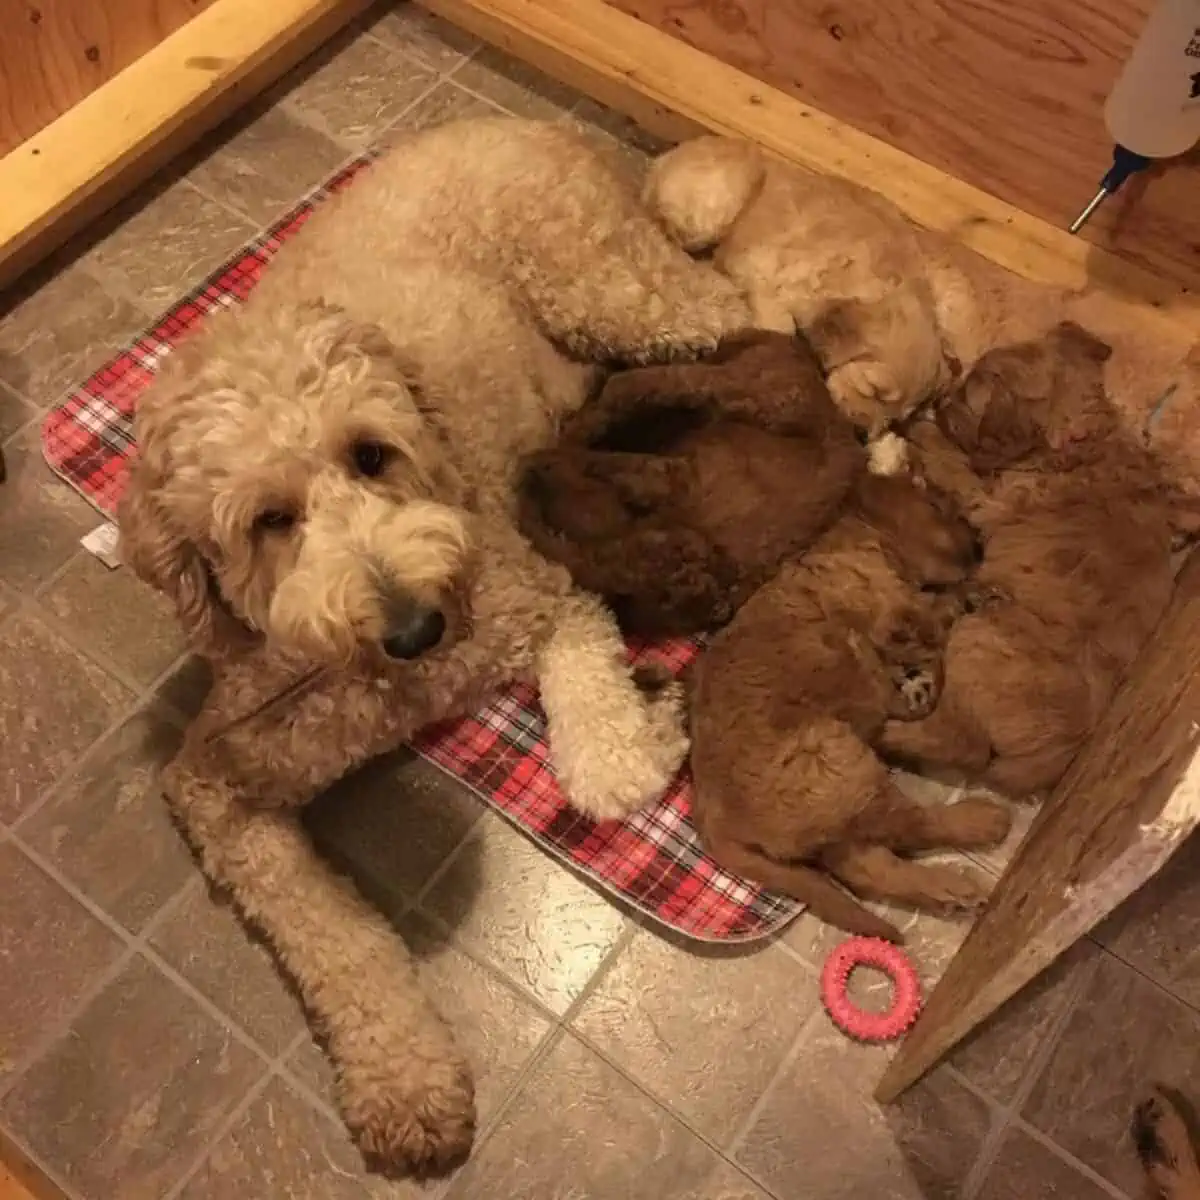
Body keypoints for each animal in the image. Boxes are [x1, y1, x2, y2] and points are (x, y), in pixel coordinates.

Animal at [119, 119, 739, 1171]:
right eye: (268, 520)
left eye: (371, 452)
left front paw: (656, 726)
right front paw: (404, 1081)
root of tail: (534, 125)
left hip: (619, 296)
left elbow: (606, 771)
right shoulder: (215, 776)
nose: (421, 628)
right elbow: (336, 937)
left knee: (744, 305)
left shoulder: (541, 595)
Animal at [686, 472, 1012, 940]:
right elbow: (934, 612)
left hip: (832, 799)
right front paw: (969, 598)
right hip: (836, 760)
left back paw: (948, 887)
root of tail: (711, 815)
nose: (981, 546)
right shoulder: (896, 612)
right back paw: (979, 820)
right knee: (906, 826)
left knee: (868, 866)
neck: (862, 539)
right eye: (939, 507)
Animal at [883, 324, 1190, 801]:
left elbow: (952, 463)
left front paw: (920, 428)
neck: (1081, 436)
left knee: (958, 743)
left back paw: (888, 732)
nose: (940, 400)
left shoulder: (988, 499)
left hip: (978, 638)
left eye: (966, 400)